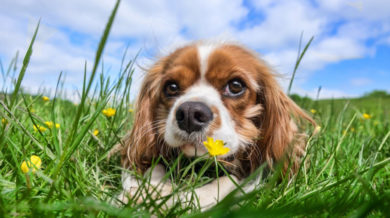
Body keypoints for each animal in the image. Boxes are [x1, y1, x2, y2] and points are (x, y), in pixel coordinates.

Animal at [116, 41, 314, 211]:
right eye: (171, 87)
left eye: (236, 85)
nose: (189, 113)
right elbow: (153, 167)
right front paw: (147, 190)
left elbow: (225, 182)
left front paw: (165, 199)